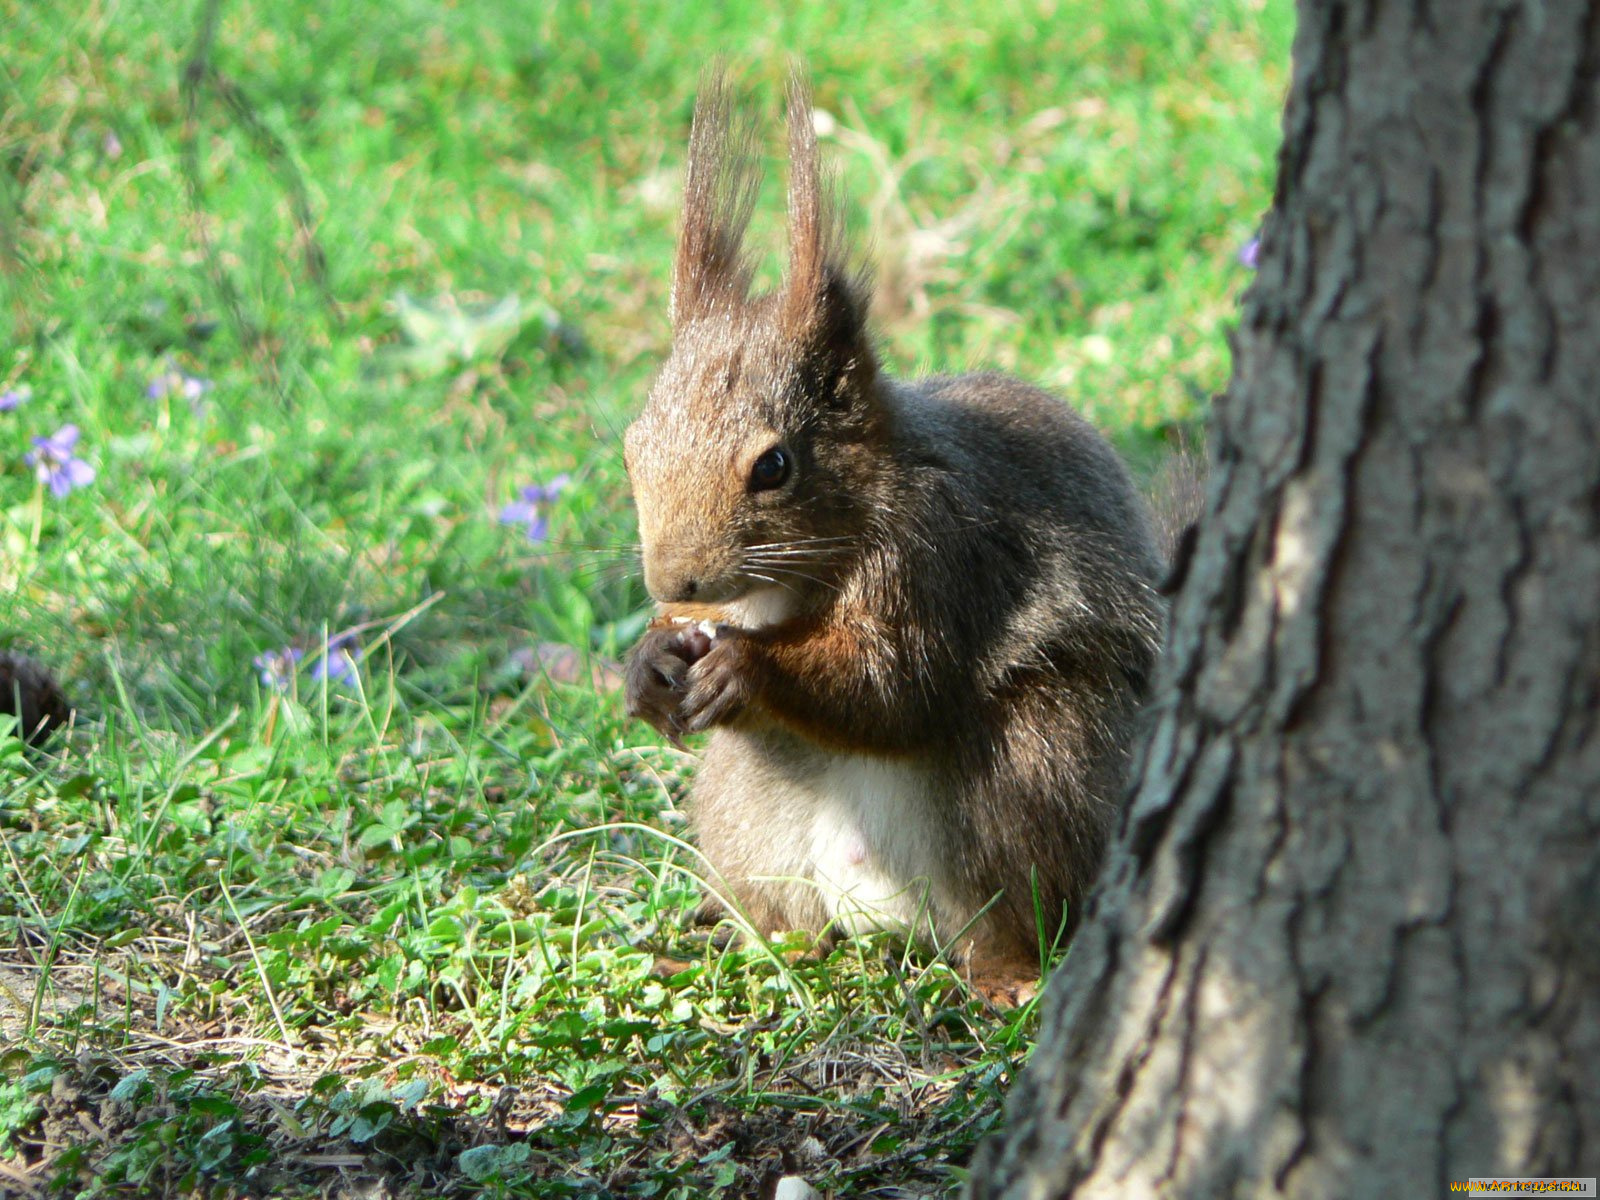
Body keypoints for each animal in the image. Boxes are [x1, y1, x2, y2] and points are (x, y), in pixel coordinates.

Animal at [620, 72, 1164, 1004]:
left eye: (774, 466)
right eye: (633, 445)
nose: (675, 582)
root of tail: (888, 909)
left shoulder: (941, 550)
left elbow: (894, 682)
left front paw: (746, 667)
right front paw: (651, 661)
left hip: (1037, 770)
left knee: (1015, 914)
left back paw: (1010, 976)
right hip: (745, 815)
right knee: (791, 918)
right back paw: (753, 945)